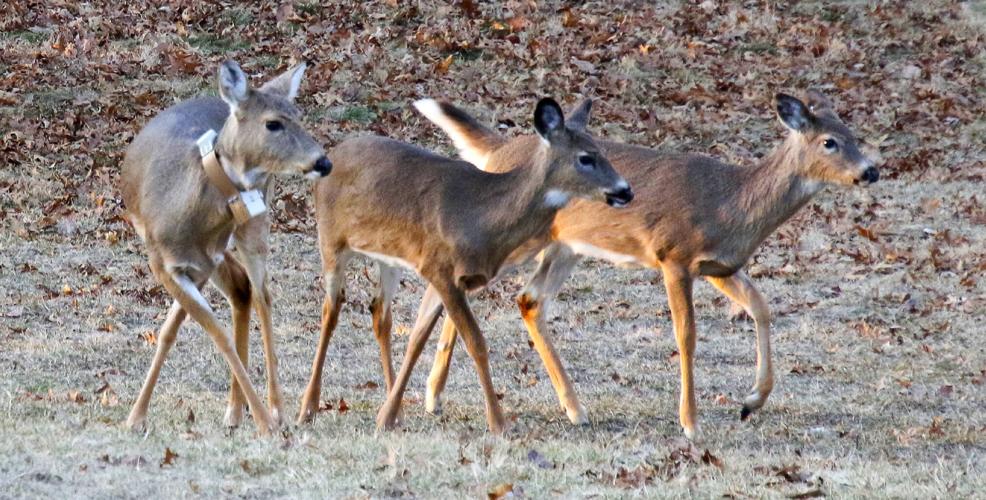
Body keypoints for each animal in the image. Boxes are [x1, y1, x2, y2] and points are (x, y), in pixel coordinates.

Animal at [120, 60, 332, 436]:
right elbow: (180, 330)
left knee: (261, 296)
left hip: (254, 222)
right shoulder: (167, 264)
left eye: (299, 115)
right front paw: (136, 417)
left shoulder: (201, 264)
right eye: (273, 122)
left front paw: (265, 421)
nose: (323, 162)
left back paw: (274, 410)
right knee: (241, 287)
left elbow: (210, 332)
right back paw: (235, 411)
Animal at [295, 98, 633, 434]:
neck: (480, 216)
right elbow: (476, 343)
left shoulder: (444, 273)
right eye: (586, 158)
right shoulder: (440, 268)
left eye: (603, 152)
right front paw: (498, 423)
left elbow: (417, 338)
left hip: (387, 256)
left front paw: (387, 416)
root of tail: (333, 155)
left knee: (380, 313)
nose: (626, 190)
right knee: (330, 310)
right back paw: (307, 409)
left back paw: (394, 411)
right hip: (331, 240)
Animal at [413, 91, 879, 440]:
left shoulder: (719, 265)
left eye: (853, 135)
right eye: (829, 142)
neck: (732, 202)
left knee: (528, 300)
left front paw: (751, 403)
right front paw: (690, 423)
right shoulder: (674, 254)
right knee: (448, 289)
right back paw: (435, 397)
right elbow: (686, 335)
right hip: (518, 239)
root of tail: (496, 152)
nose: (871, 170)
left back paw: (569, 409)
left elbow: (761, 308)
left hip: (564, 247)